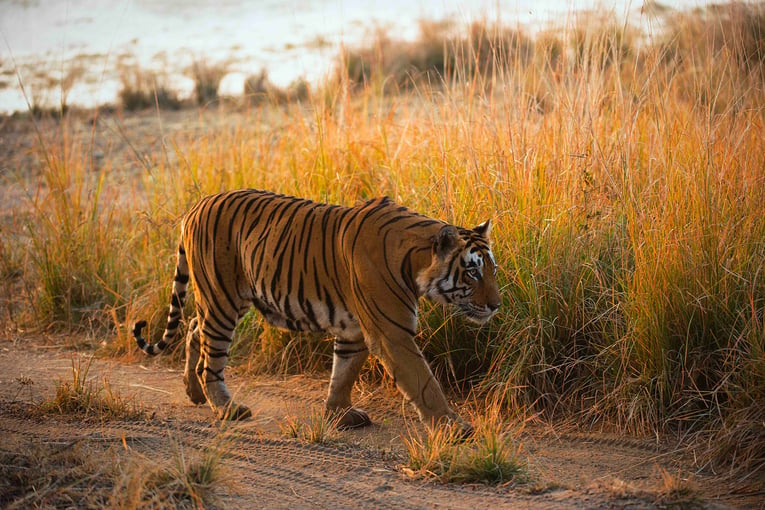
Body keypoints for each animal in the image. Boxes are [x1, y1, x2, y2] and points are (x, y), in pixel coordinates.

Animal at [133, 189, 502, 432]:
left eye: (492, 269)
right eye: (472, 272)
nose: (496, 305)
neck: (415, 261)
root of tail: (197, 205)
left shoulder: (355, 329)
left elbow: (344, 372)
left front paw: (340, 414)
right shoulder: (392, 334)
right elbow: (424, 382)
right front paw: (453, 426)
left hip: (223, 300)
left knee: (194, 328)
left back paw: (194, 392)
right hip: (221, 297)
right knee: (210, 357)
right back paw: (226, 408)